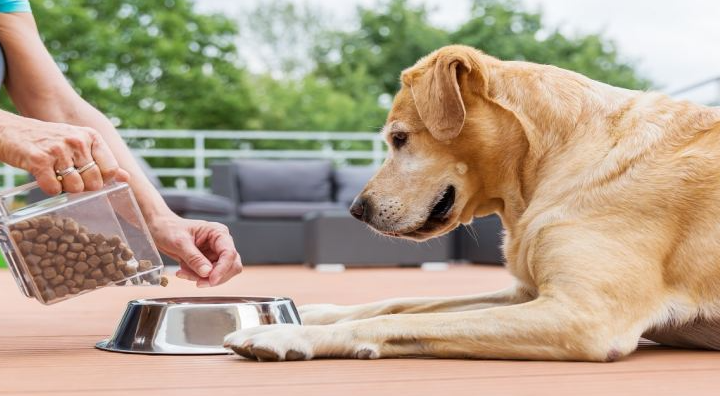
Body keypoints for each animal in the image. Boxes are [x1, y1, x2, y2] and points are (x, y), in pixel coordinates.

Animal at [225, 44, 720, 360]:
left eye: (399, 138)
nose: (355, 210)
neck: (553, 159)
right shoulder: (526, 293)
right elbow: (401, 302)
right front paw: (313, 313)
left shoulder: (585, 315)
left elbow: (406, 322)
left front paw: (288, 334)